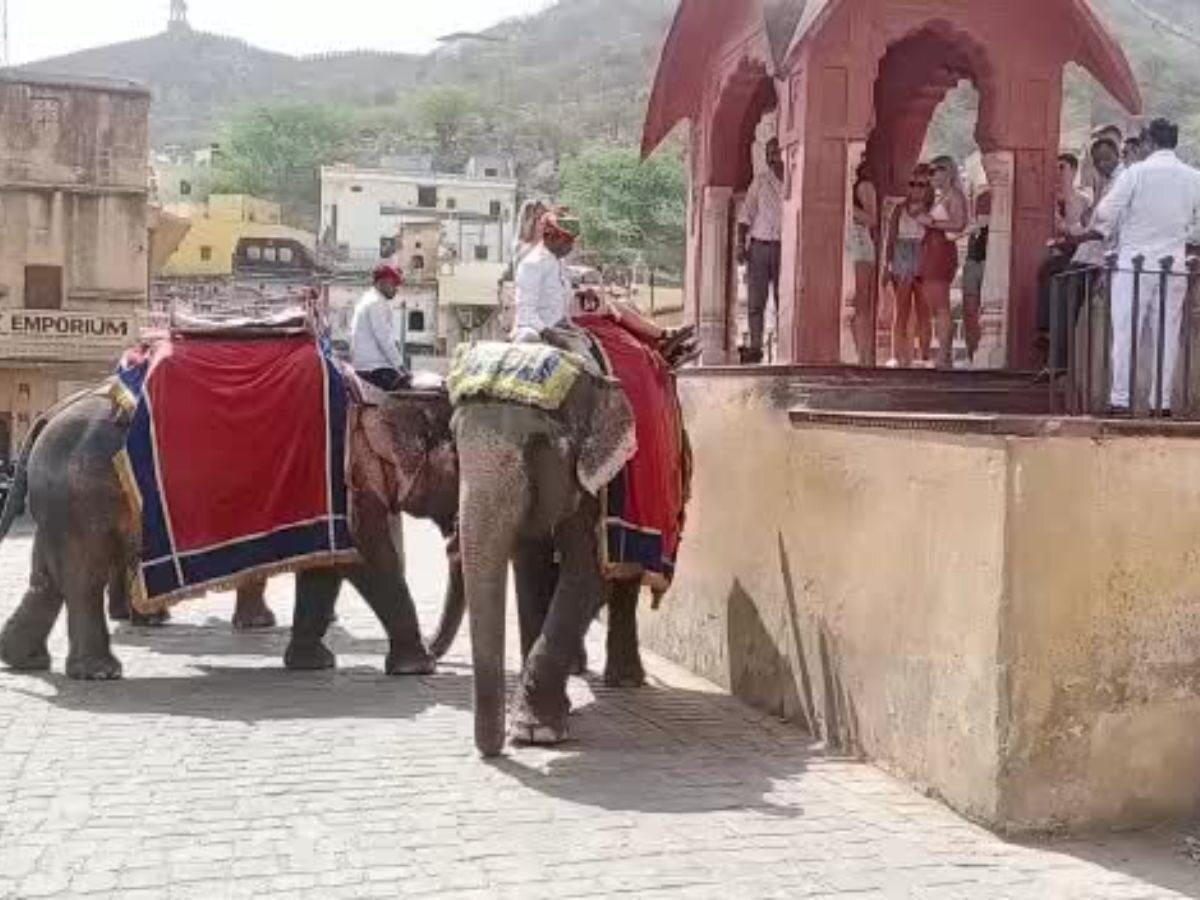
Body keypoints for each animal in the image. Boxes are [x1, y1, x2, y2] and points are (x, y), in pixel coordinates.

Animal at [0, 388, 463, 681]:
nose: (439, 654)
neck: (382, 399)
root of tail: (45, 418)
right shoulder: (346, 484)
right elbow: (368, 561)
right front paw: (416, 668)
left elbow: (326, 568)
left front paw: (313, 664)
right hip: (81, 495)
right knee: (84, 577)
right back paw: (100, 672)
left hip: (62, 501)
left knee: (49, 578)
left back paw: (25, 661)